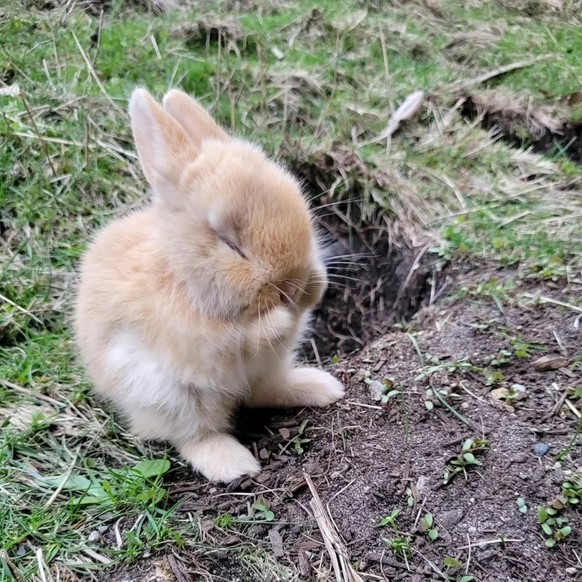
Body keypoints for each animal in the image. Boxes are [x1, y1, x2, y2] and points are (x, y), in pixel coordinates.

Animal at [74, 90, 344, 484]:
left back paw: (322, 388)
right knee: (194, 434)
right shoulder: (202, 337)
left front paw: (314, 288)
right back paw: (235, 464)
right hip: (171, 398)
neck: (183, 271)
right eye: (231, 244)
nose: (291, 287)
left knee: (265, 391)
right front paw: (280, 317)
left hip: (269, 367)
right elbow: (243, 336)